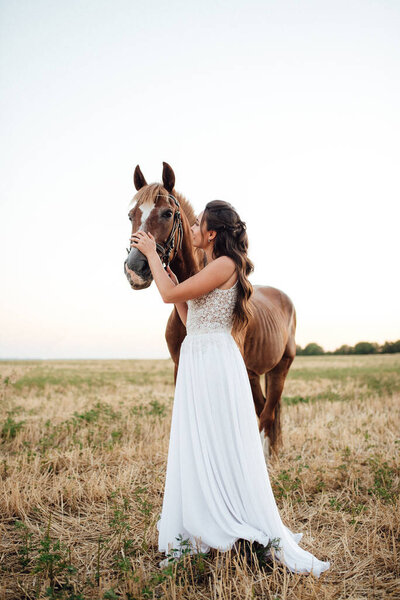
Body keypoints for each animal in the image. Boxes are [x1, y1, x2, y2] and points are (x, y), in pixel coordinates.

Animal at [125, 162, 296, 458]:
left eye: (168, 213)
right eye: (130, 215)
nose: (135, 269)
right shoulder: (178, 365)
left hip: (280, 369)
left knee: (267, 414)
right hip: (252, 373)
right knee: (263, 407)